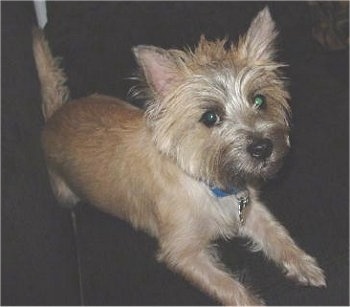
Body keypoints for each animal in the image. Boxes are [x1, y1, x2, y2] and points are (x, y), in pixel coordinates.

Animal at [32, 6, 326, 306]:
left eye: (259, 100)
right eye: (210, 117)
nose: (263, 148)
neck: (206, 181)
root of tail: (54, 115)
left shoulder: (251, 211)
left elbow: (277, 234)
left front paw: (304, 265)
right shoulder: (183, 254)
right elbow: (231, 288)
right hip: (65, 193)